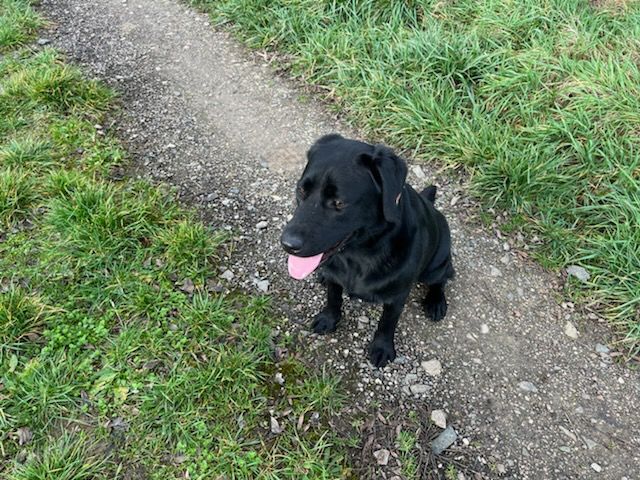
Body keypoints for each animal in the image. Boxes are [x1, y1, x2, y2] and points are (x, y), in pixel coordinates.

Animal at [282, 135, 456, 368]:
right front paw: (329, 318)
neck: (358, 255)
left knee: (442, 278)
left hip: (436, 265)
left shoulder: (397, 297)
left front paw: (382, 347)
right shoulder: (336, 279)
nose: (287, 244)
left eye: (339, 203)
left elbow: (387, 323)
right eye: (301, 190)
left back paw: (436, 301)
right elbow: (333, 298)